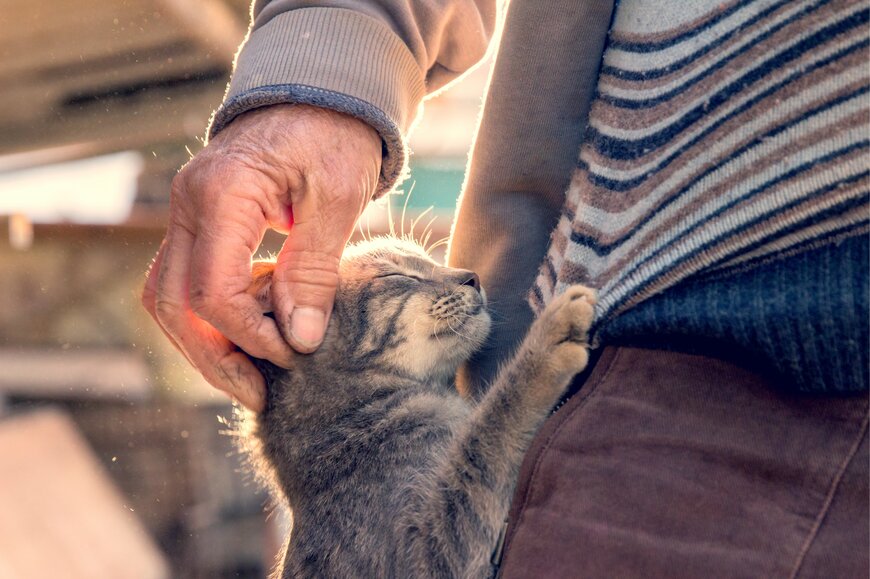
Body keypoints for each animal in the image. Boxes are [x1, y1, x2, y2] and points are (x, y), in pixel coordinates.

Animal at [242, 237, 596, 579]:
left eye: (430, 261)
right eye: (396, 275)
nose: (472, 277)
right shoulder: (423, 550)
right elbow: (491, 429)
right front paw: (545, 342)